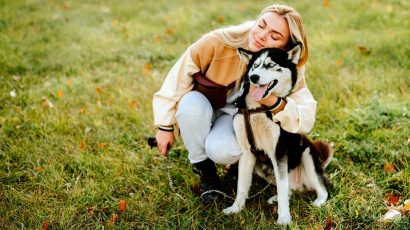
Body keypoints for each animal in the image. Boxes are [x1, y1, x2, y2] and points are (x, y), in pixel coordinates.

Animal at [221, 44, 334, 225]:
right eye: (254, 66)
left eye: (271, 65)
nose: (253, 77)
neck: (257, 109)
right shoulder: (246, 153)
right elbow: (242, 186)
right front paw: (236, 208)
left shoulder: (279, 152)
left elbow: (282, 188)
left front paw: (284, 218)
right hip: (262, 168)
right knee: (288, 190)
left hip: (307, 155)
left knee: (320, 189)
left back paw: (318, 202)